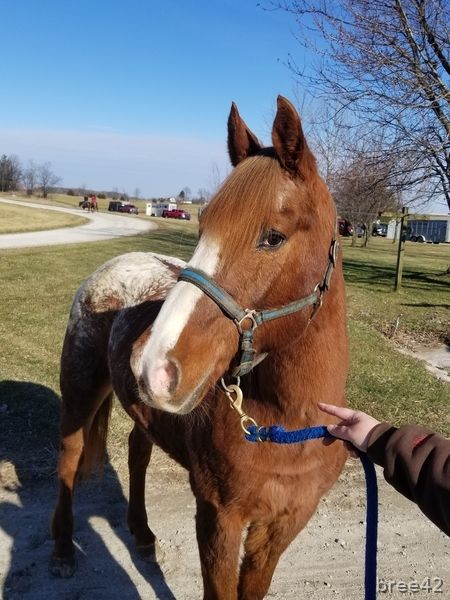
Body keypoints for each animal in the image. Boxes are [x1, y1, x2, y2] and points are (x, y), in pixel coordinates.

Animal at [51, 96, 350, 596]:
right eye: (202, 224)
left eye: (273, 237)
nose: (152, 365)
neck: (287, 425)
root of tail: (116, 264)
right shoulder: (218, 518)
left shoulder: (283, 525)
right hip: (79, 394)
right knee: (69, 459)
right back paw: (60, 550)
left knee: (137, 448)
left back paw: (142, 534)